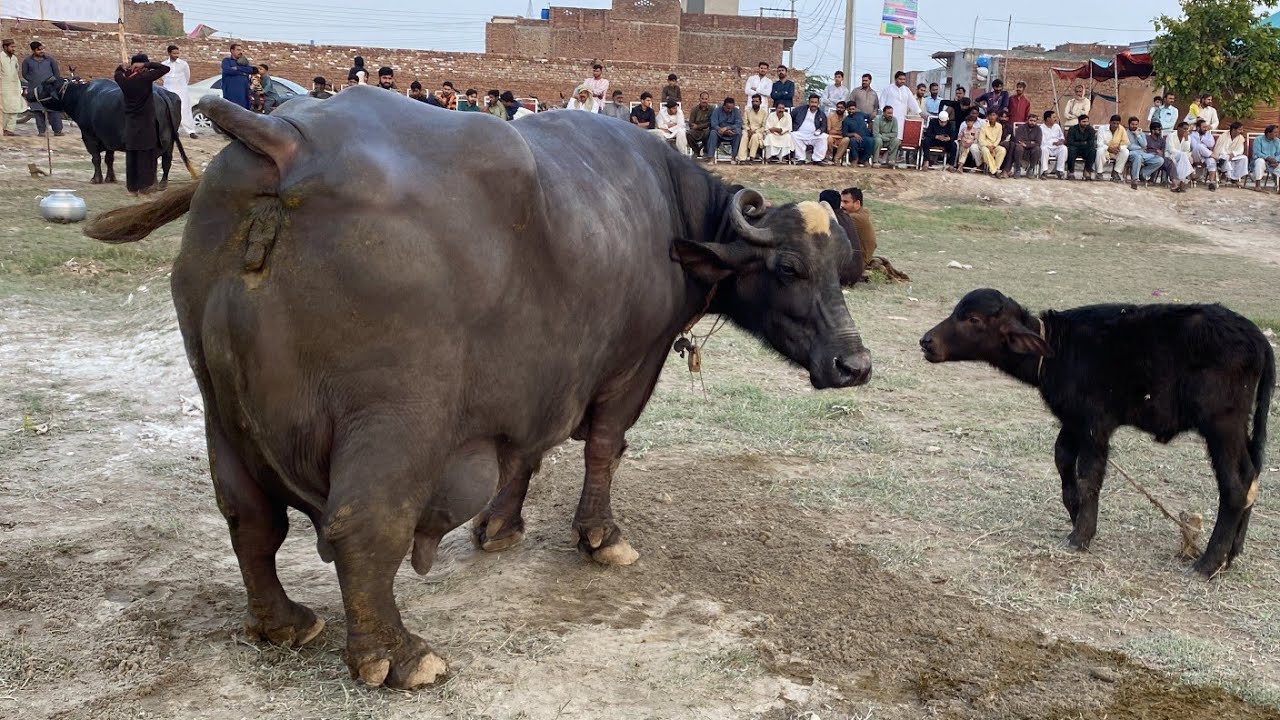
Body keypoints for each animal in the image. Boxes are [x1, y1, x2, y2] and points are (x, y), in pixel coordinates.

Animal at [33, 77, 193, 186]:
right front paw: (110, 178)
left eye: (44, 85)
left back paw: (151, 183)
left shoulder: (89, 135)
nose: (29, 93)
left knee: (154, 158)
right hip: (171, 139)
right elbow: (109, 158)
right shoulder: (109, 138)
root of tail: (163, 94)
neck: (80, 96)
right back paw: (162, 183)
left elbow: (96, 158)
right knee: (166, 159)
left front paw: (96, 179)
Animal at [83, 87, 873, 690]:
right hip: (396, 419)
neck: (668, 215)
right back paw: (398, 656)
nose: (854, 364)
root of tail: (282, 141)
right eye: (788, 269)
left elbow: (525, 453)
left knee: (249, 519)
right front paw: (600, 537)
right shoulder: (630, 366)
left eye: (844, 268)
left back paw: (283, 622)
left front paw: (501, 526)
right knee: (361, 526)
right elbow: (604, 447)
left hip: (221, 410)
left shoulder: (538, 379)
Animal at [919, 289, 1273, 577]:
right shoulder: (1073, 421)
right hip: (1239, 428)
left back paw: (1207, 564)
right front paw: (1075, 512)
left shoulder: (1095, 426)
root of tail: (1257, 338)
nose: (926, 341)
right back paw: (1232, 553)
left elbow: (1089, 476)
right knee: (1251, 475)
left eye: (973, 319)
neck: (1057, 350)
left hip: (1221, 425)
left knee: (1235, 486)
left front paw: (1080, 536)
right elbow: (1062, 459)